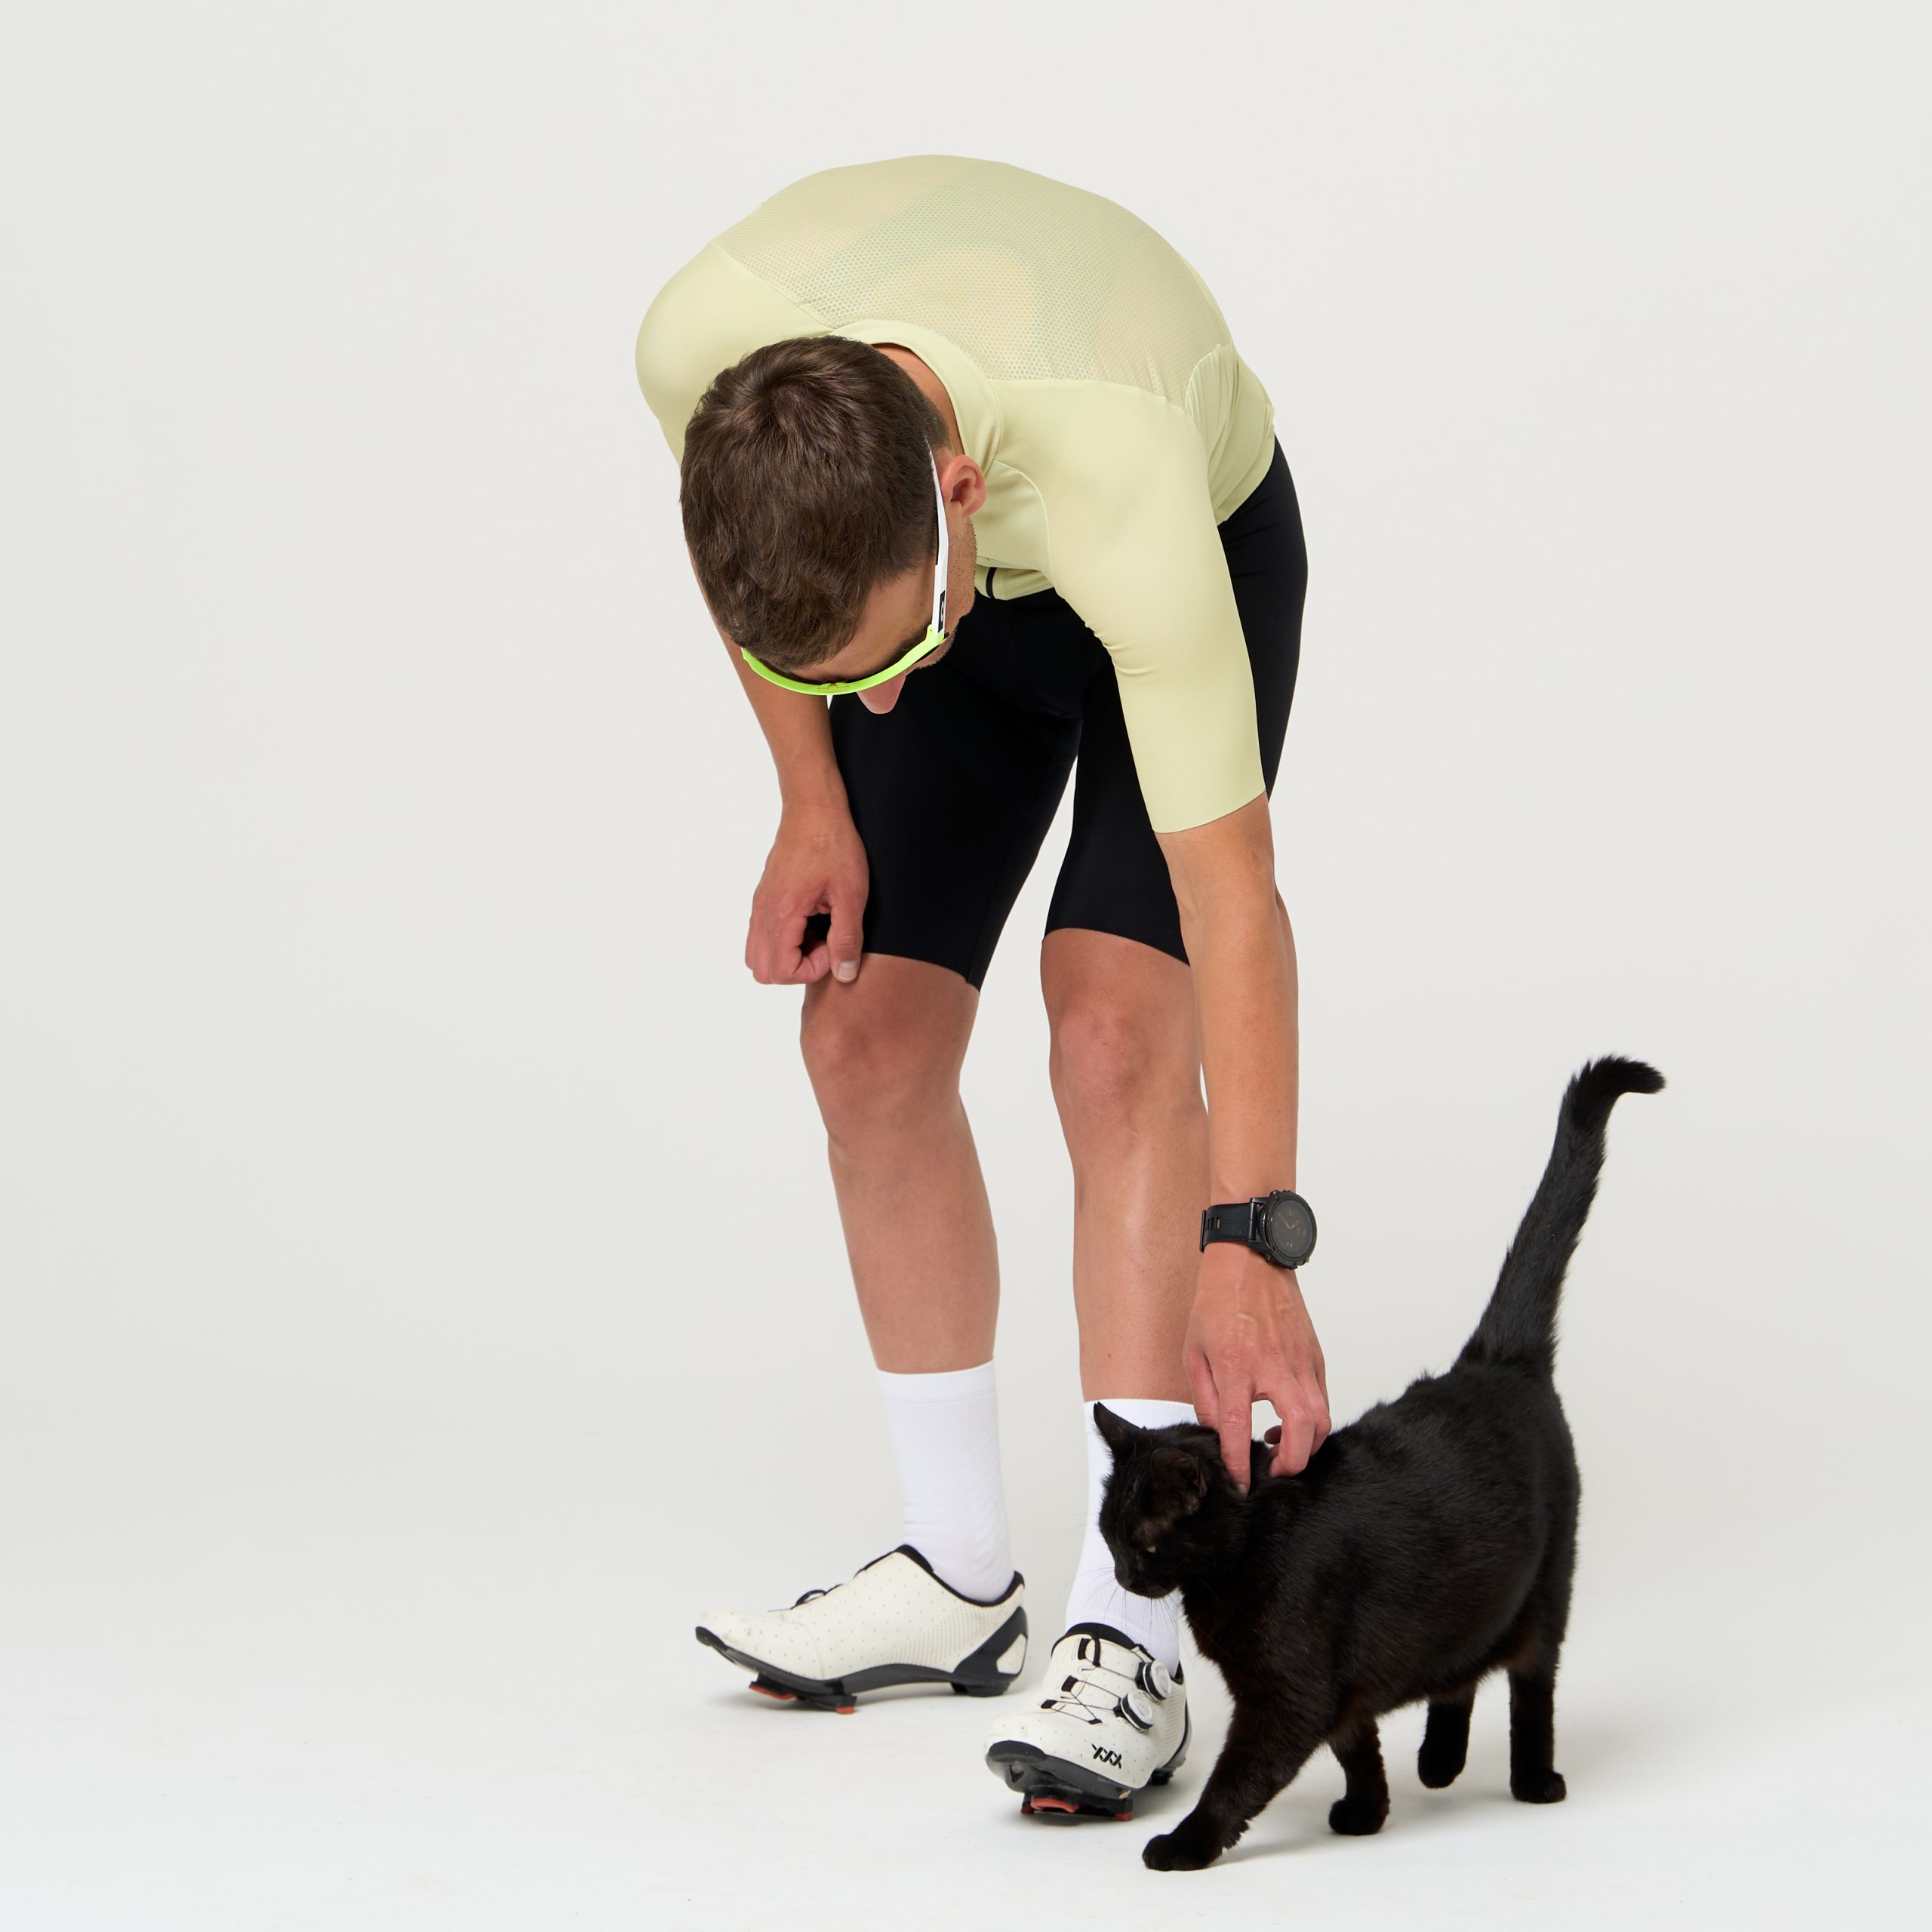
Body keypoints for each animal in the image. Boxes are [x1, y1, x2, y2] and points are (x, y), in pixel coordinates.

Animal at [1095, 1054, 1662, 1871]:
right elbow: (1355, 1743)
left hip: (1548, 1585)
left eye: (1140, 1541)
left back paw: (1533, 1779)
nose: (1121, 1576)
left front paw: (1186, 1843)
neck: (1246, 1552)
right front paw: (1368, 1811)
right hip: (1464, 1595)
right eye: (1108, 1537)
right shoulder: (1335, 1689)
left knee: (1531, 1683)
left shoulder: (1288, 1693)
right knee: (1461, 1668)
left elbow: (1239, 1778)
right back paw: (1440, 1762)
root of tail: (1494, 1361)